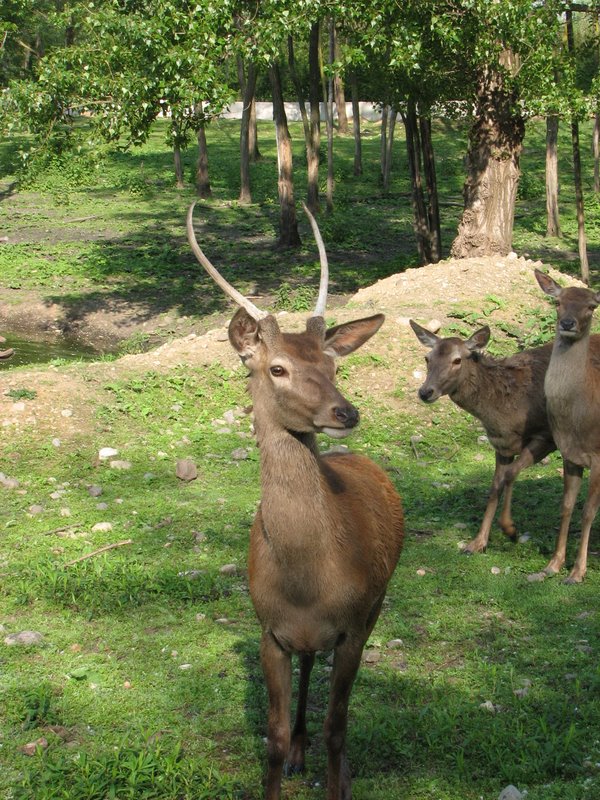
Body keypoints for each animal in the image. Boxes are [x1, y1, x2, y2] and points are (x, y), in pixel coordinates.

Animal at [188, 203, 404, 796]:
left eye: (333, 365)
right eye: (276, 367)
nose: (345, 412)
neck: (306, 583)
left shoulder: (352, 626)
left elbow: (338, 727)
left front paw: (338, 779)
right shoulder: (270, 631)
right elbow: (273, 739)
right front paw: (287, 756)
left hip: (378, 603)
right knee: (310, 665)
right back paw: (300, 755)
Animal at [410, 316, 556, 552]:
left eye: (457, 360)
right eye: (427, 358)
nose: (425, 392)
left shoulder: (546, 435)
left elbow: (511, 474)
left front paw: (510, 530)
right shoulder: (501, 445)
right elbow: (495, 486)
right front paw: (477, 543)